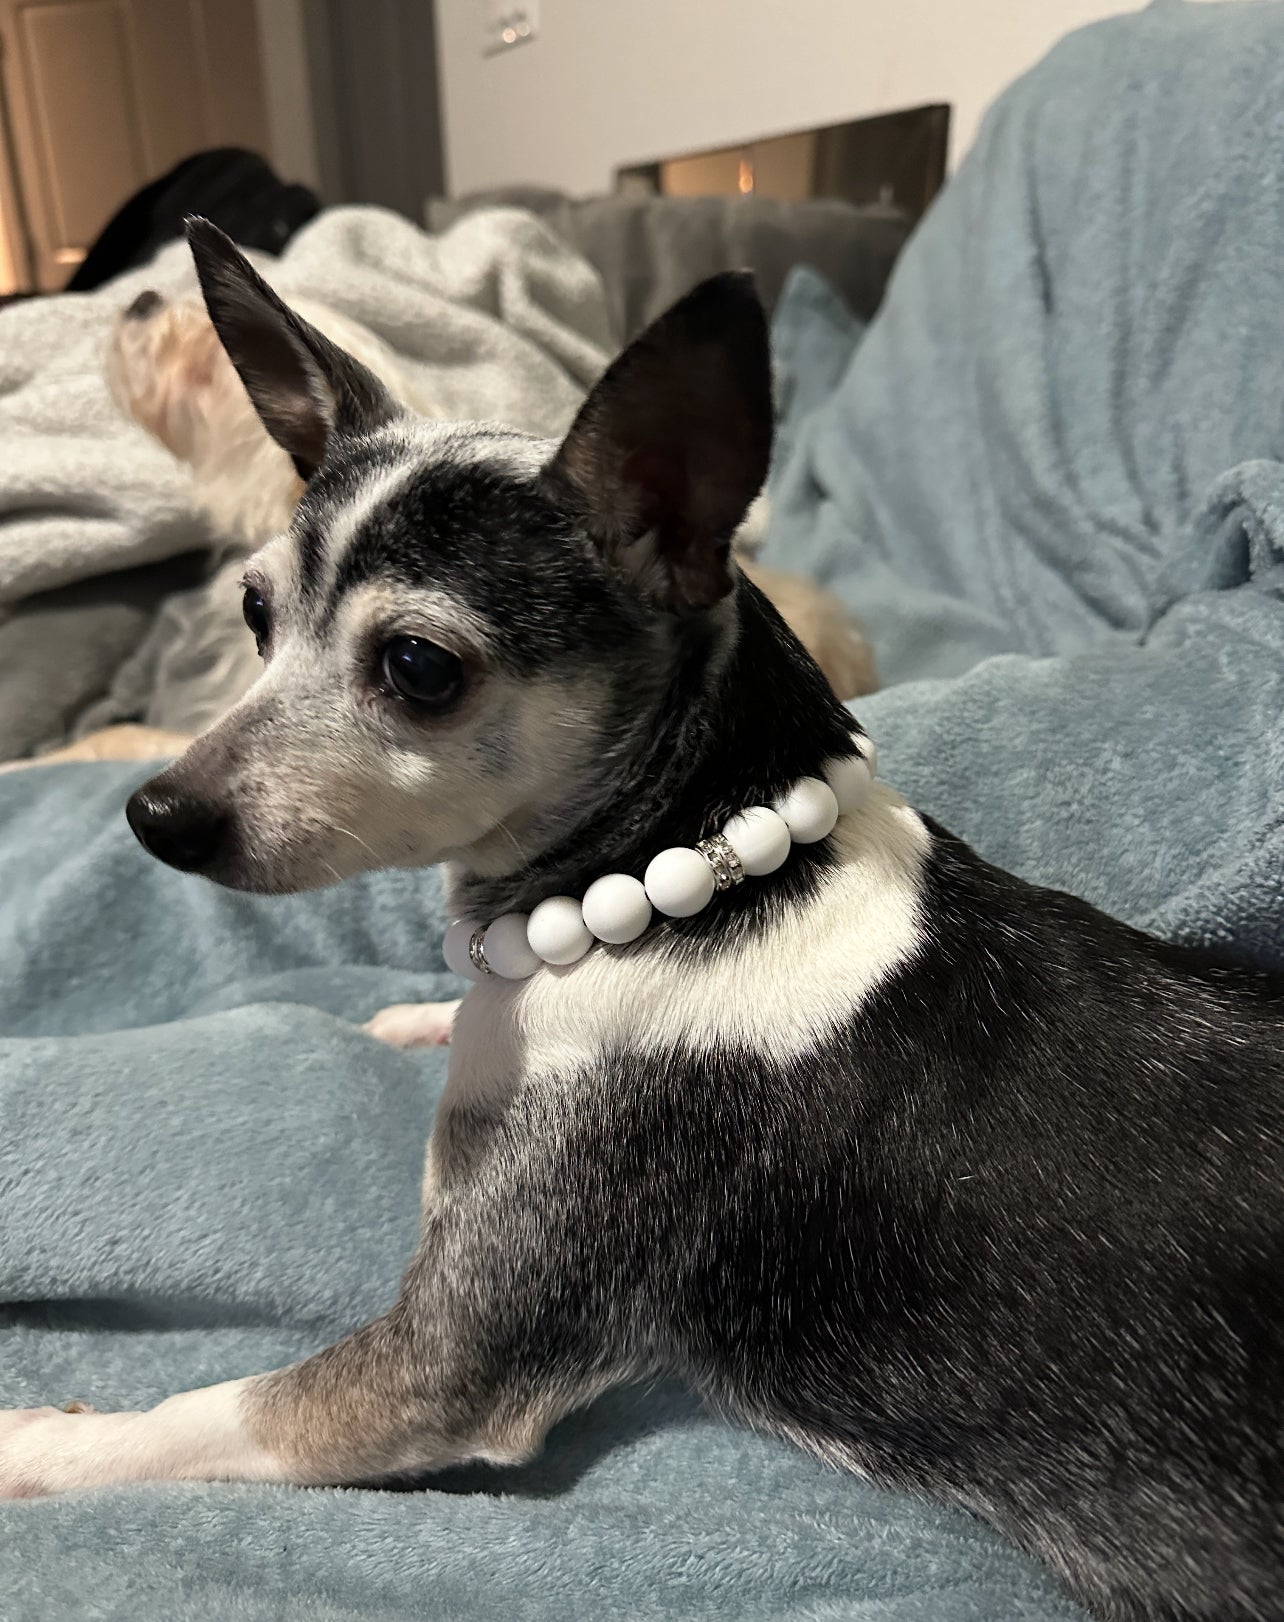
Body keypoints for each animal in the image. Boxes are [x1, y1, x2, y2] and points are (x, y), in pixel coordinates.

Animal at [5, 225, 1277, 1622]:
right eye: (254, 618)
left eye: (419, 669)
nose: (154, 812)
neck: (695, 887)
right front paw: (418, 1012)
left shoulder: (440, 1363)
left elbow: (213, 1408)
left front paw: (42, 1441)